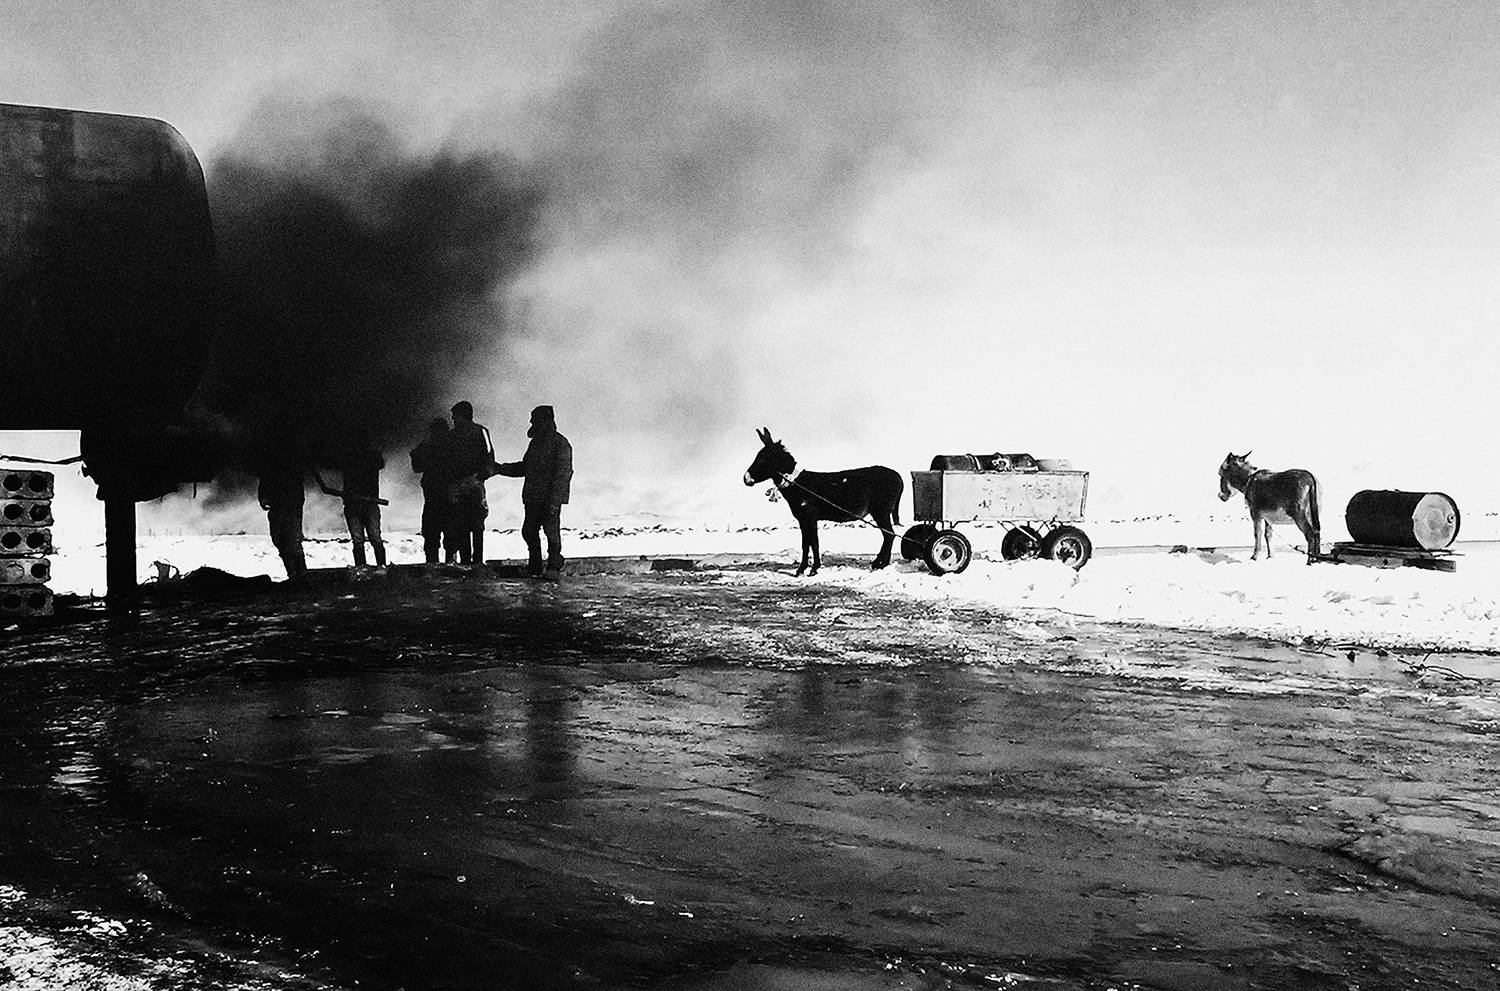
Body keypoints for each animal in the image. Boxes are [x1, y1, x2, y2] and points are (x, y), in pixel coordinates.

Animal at [743, 427, 904, 576]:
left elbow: (813, 543)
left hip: (881, 511)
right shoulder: (803, 520)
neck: (796, 484)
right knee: (888, 535)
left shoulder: (810, 517)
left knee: (889, 535)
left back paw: (881, 564)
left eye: (762, 458)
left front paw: (813, 569)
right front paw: (802, 570)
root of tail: (898, 477)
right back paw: (880, 563)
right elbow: (806, 544)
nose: (745, 478)